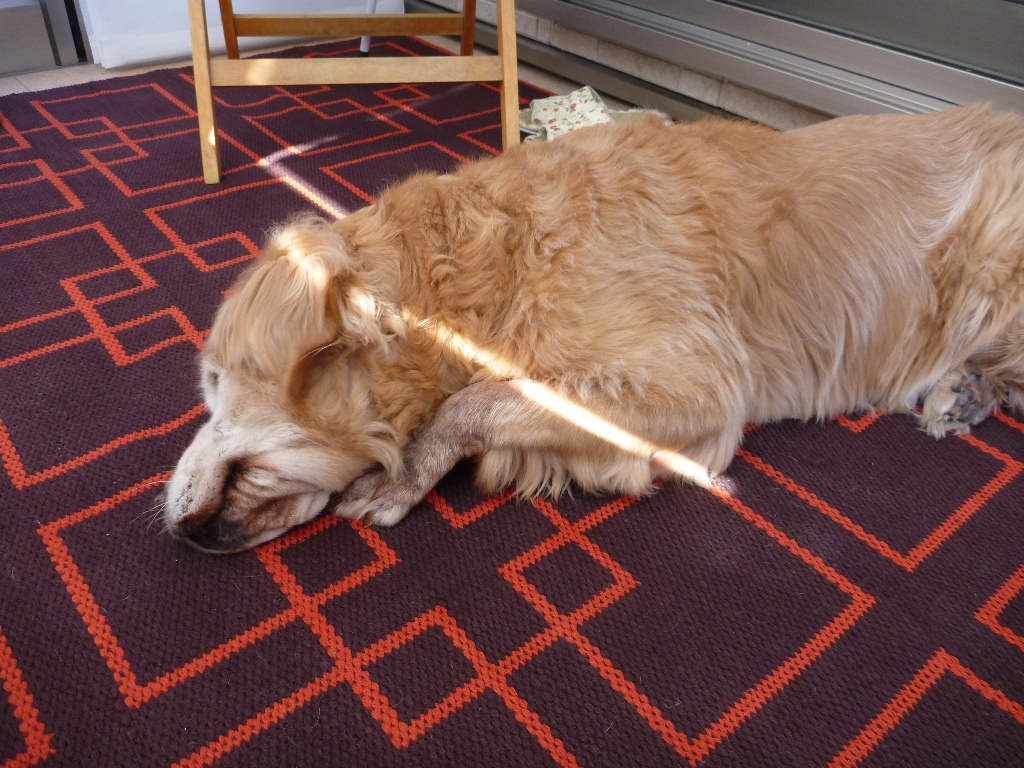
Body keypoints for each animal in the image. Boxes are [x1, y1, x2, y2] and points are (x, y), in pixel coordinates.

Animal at [163, 104, 1024, 553]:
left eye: (213, 382)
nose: (170, 527)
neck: (490, 269)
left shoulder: (697, 383)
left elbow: (472, 404)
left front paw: (402, 476)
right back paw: (963, 393)